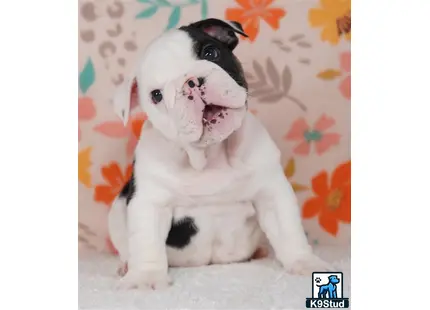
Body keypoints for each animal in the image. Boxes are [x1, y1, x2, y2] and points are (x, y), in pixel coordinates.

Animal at [107, 18, 330, 290]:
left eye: (210, 53)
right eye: (156, 95)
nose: (191, 82)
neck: (211, 155)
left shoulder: (272, 192)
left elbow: (289, 230)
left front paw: (304, 262)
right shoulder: (151, 202)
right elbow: (147, 243)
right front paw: (146, 278)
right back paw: (125, 266)